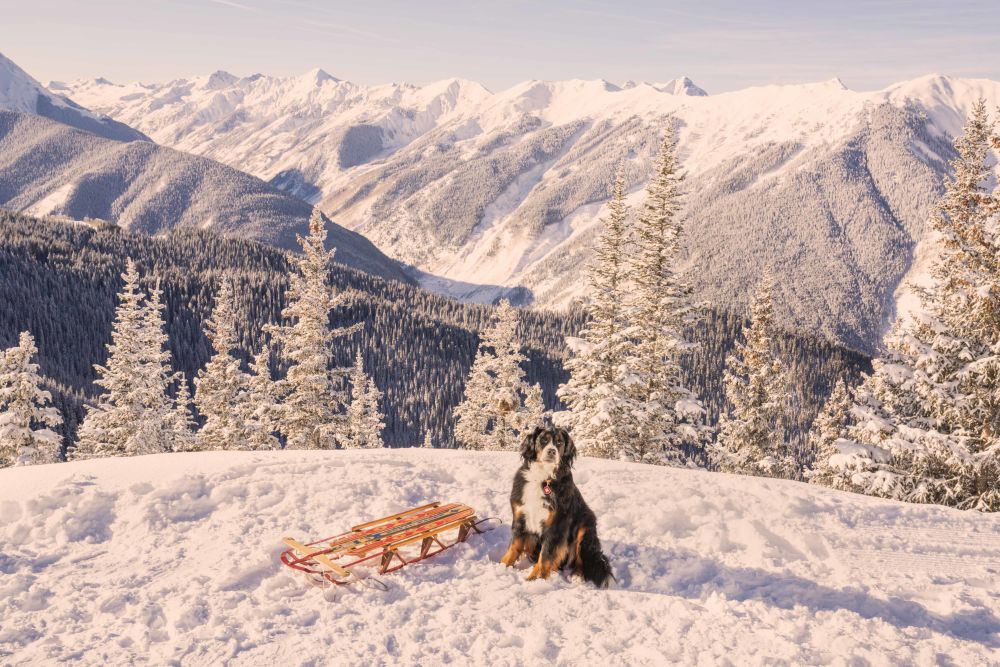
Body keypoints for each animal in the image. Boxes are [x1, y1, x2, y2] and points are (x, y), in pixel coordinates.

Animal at [498, 426, 608, 588]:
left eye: (559, 442)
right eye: (543, 440)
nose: (552, 451)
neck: (543, 478)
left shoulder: (556, 526)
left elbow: (545, 556)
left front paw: (537, 580)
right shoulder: (520, 517)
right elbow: (514, 546)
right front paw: (501, 566)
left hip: (584, 528)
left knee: (580, 559)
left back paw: (577, 576)